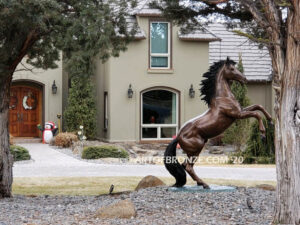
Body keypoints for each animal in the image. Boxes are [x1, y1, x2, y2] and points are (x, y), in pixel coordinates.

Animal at [165, 57, 274, 188]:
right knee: (188, 166)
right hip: (196, 149)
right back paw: (205, 184)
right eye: (231, 69)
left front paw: (271, 120)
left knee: (186, 166)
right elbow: (256, 114)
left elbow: (258, 106)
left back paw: (200, 183)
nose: (245, 79)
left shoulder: (241, 110)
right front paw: (263, 133)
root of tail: (178, 136)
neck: (223, 98)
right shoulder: (237, 114)